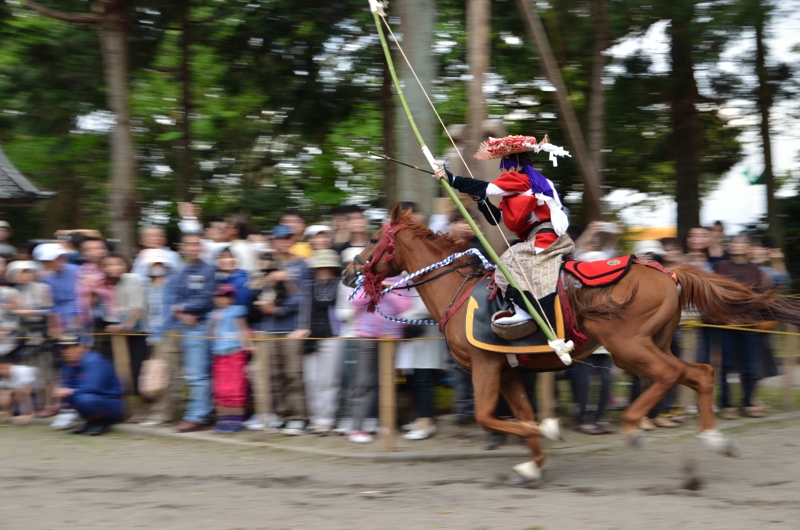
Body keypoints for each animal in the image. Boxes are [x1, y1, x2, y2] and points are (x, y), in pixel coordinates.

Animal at [340, 203, 800, 482]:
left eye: (375, 238)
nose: (348, 271)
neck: (457, 289)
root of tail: (668, 272)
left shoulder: (485, 367)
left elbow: (491, 417)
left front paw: (545, 432)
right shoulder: (508, 370)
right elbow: (518, 413)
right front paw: (534, 460)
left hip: (629, 347)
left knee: (670, 375)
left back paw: (633, 426)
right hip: (655, 342)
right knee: (700, 373)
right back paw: (715, 439)